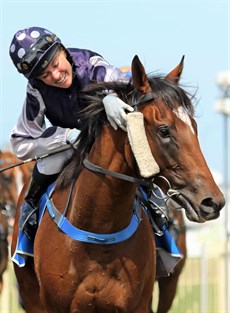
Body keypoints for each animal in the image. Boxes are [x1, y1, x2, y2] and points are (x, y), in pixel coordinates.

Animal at [10, 54, 225, 310]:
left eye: (194, 126)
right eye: (164, 131)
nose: (212, 201)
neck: (97, 229)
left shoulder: (137, 303)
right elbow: (22, 138)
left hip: (169, 285)